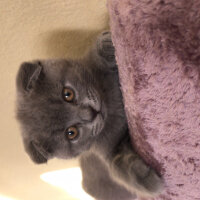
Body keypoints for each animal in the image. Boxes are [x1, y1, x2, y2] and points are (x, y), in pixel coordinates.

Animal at [16, 32, 163, 199]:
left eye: (68, 94)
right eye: (71, 133)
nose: (91, 113)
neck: (110, 106)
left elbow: (95, 54)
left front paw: (107, 44)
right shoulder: (108, 149)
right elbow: (118, 166)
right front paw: (148, 181)